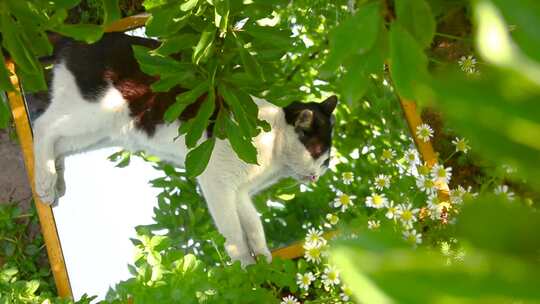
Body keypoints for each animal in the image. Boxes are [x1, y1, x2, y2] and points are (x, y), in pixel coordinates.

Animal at [33, 32, 336, 266]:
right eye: (319, 155)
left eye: (325, 162)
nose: (318, 175)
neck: (273, 143)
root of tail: (78, 39)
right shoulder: (217, 183)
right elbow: (234, 231)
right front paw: (245, 263)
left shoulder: (238, 192)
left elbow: (252, 224)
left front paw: (262, 257)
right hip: (96, 109)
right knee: (43, 125)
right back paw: (46, 182)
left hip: (99, 131)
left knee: (58, 142)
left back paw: (55, 180)